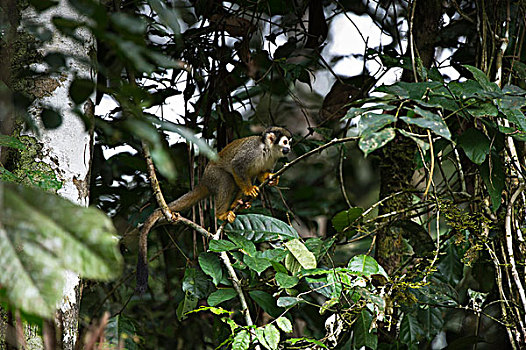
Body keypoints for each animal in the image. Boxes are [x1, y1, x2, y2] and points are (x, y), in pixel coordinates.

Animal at [136, 126, 292, 292]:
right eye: (285, 142)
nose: (289, 148)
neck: (267, 150)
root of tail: (203, 181)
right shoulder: (251, 151)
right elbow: (237, 166)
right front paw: (249, 190)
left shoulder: (272, 159)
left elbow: (261, 174)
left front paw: (270, 178)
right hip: (213, 176)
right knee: (227, 179)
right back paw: (222, 213)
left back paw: (239, 204)